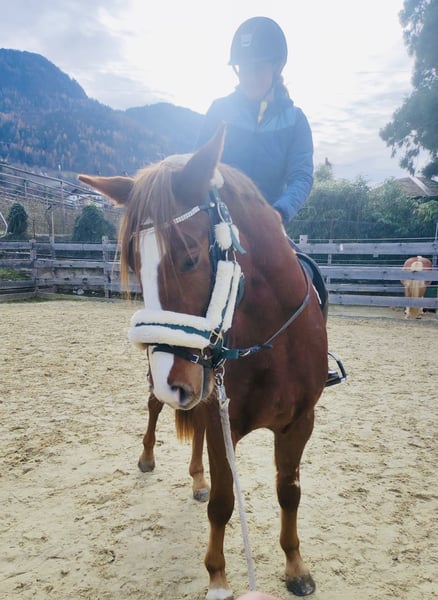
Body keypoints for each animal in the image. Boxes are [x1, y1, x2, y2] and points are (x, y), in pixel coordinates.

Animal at [78, 125, 328, 599]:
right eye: (134, 265)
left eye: (191, 257)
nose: (174, 381)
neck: (273, 341)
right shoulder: (219, 417)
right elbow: (223, 504)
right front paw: (217, 577)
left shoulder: (298, 422)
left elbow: (289, 492)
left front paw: (296, 566)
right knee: (155, 409)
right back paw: (149, 457)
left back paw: (196, 475)